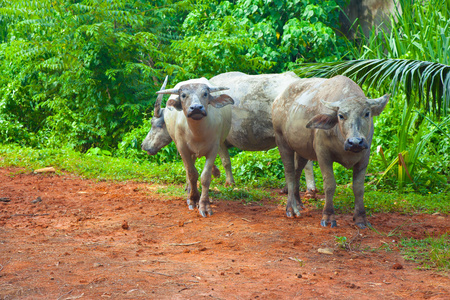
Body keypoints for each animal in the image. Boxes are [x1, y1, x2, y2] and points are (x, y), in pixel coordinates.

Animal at [145, 77, 236, 216]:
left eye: (205, 94)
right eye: (183, 95)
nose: (196, 108)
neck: (197, 132)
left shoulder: (214, 149)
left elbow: (205, 177)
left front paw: (204, 205)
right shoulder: (183, 148)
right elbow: (192, 173)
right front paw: (193, 199)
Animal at [272, 75, 388, 227]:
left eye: (367, 113)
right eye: (341, 115)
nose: (355, 142)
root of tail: (277, 100)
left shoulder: (364, 157)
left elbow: (358, 188)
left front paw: (361, 218)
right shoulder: (323, 155)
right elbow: (329, 185)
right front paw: (328, 216)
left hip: (302, 150)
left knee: (297, 171)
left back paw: (298, 203)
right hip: (282, 142)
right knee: (290, 173)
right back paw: (291, 208)